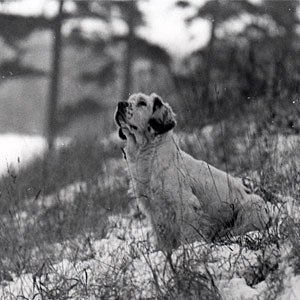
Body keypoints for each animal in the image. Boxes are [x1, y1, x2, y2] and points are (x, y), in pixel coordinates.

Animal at [114, 92, 270, 250]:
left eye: (142, 103)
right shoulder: (155, 212)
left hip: (254, 203)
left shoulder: (185, 204)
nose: (120, 104)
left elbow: (189, 234)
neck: (149, 156)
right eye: (129, 100)